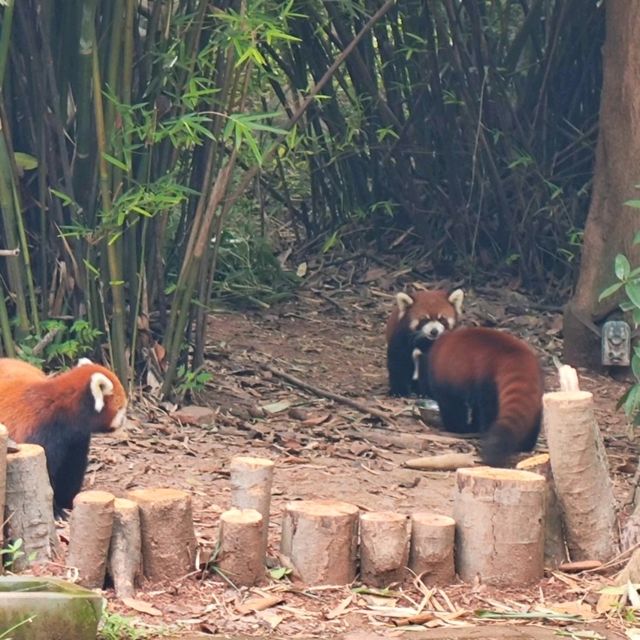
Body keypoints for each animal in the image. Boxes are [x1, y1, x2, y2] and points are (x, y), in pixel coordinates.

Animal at [0, 358, 127, 516]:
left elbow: (71, 468)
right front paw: (56, 511)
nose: (124, 421)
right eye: (121, 408)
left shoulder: (75, 439)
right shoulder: (39, 433)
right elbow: (45, 475)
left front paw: (68, 502)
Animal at [424, 328, 544, 468]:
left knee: (488, 411)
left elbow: (452, 407)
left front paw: (460, 428)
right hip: (537, 389)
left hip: (487, 381)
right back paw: (526, 445)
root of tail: (514, 355)